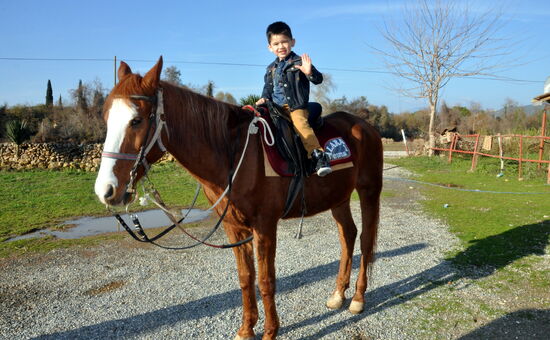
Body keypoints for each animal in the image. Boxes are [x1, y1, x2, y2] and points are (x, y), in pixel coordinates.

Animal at [94, 57, 384, 338]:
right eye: (106, 118)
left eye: (136, 120)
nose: (105, 190)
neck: (232, 154)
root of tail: (365, 127)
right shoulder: (234, 226)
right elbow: (246, 278)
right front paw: (246, 329)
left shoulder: (265, 226)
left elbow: (266, 280)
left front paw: (270, 332)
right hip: (339, 198)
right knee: (348, 235)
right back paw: (338, 295)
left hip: (369, 191)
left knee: (365, 240)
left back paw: (357, 298)